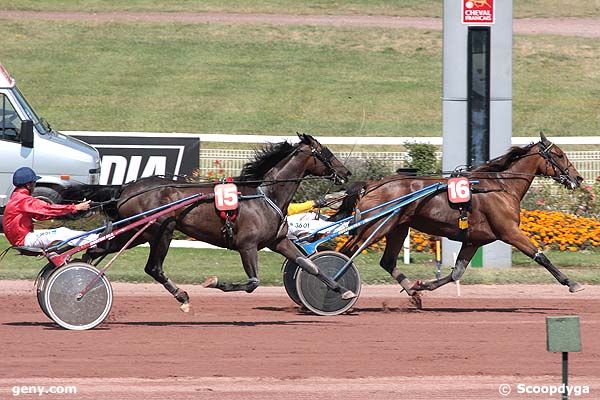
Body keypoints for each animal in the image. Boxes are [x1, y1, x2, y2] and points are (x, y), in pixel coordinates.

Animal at [63, 133, 354, 310]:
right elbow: (252, 283)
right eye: (325, 152)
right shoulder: (247, 246)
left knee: (95, 250)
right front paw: (215, 283)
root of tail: (126, 187)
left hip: (136, 232)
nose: (346, 172)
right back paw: (181, 296)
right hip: (157, 230)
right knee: (152, 268)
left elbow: (310, 265)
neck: (265, 195)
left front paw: (342, 289)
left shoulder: (278, 241)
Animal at [336, 133, 584, 298]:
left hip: (397, 228)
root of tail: (371, 185)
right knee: (345, 253)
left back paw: (412, 293)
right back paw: (339, 287)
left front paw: (422, 286)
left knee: (387, 261)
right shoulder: (509, 232)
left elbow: (456, 273)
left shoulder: (474, 240)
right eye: (559, 155)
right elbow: (541, 256)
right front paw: (572, 283)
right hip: (375, 226)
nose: (578, 178)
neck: (501, 186)